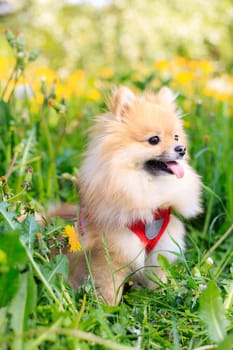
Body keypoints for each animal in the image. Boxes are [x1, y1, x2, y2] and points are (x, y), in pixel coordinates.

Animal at [60, 87, 202, 306]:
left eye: (176, 137)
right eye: (154, 140)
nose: (182, 149)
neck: (147, 187)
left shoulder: (159, 251)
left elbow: (157, 279)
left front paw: (161, 297)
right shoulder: (111, 253)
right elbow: (110, 287)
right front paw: (108, 309)